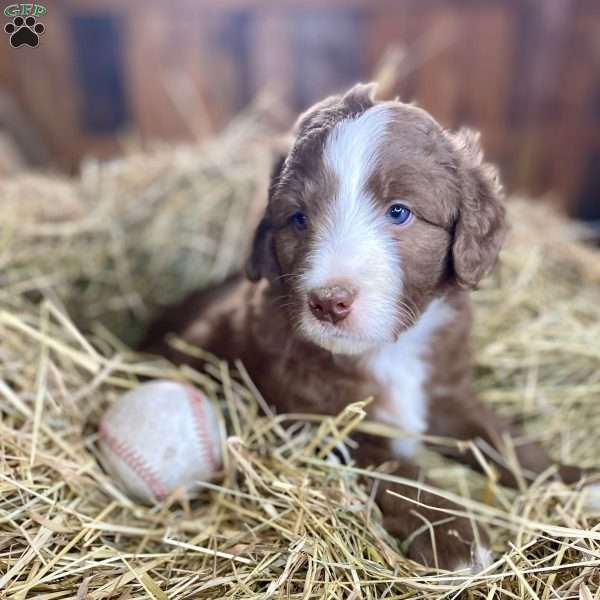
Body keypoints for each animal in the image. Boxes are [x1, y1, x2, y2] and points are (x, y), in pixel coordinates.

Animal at [143, 84, 584, 572]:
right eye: (298, 218)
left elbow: (501, 437)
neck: (391, 350)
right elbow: (396, 471)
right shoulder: (321, 421)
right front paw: (455, 537)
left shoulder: (446, 391)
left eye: (399, 213)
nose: (327, 302)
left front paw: (576, 481)